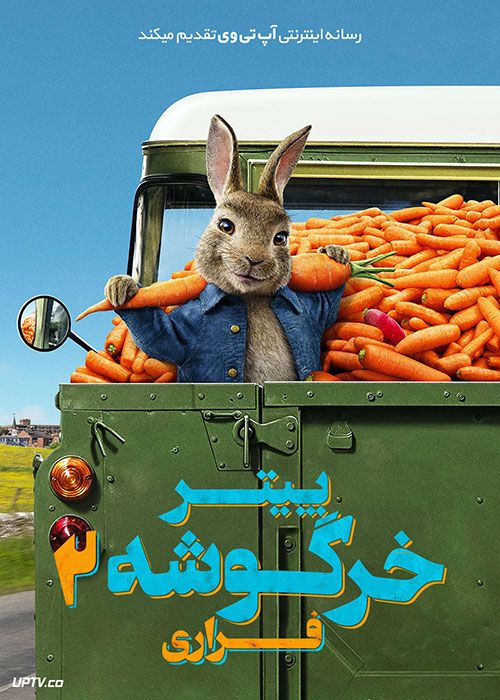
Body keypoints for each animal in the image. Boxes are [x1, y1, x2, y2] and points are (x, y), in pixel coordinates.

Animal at [105, 115, 349, 384]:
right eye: (225, 225)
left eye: (281, 238)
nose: (254, 259)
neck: (250, 299)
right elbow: (161, 337)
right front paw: (121, 287)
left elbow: (327, 307)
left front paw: (335, 253)